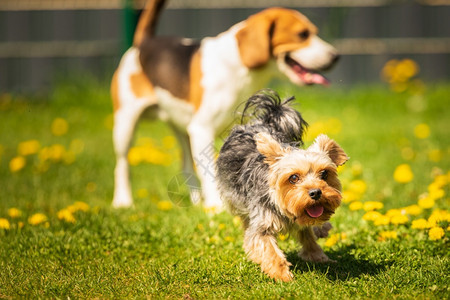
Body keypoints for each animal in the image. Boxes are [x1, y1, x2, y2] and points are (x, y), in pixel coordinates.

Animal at [110, 0, 340, 210]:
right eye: (302, 35)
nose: (336, 56)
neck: (238, 68)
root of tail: (142, 44)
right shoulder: (202, 129)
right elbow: (210, 172)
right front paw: (216, 208)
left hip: (182, 130)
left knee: (186, 166)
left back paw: (196, 202)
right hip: (125, 125)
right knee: (121, 164)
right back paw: (123, 201)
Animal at [216, 89, 350, 282]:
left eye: (324, 174)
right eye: (293, 178)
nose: (316, 193)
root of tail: (264, 121)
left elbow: (307, 233)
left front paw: (317, 255)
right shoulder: (261, 223)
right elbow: (269, 249)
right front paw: (282, 276)